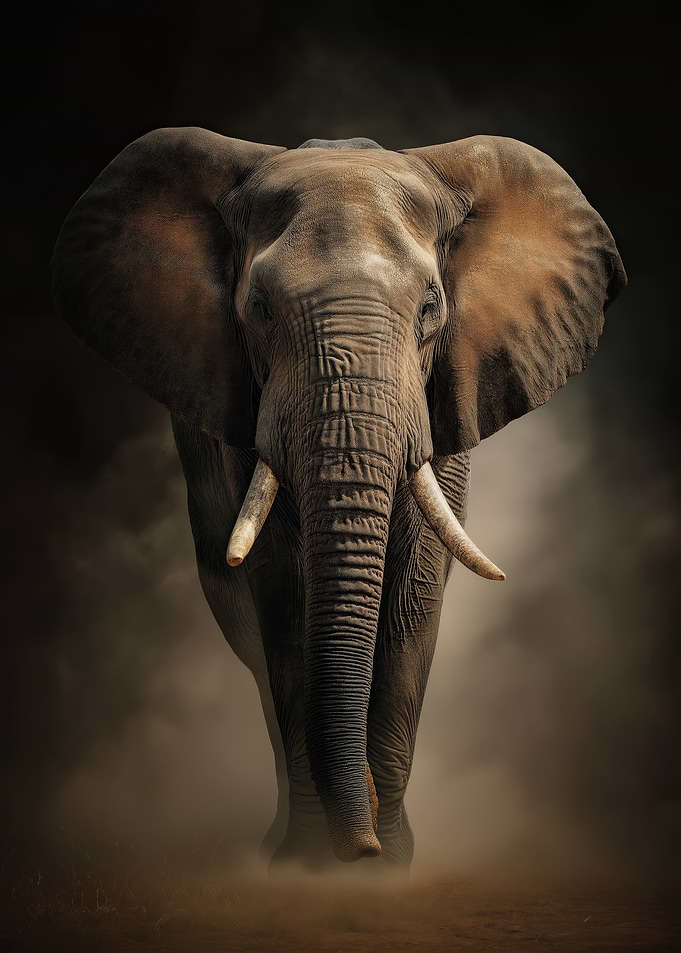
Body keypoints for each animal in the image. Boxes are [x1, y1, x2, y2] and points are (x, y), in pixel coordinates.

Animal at [52, 129, 626, 869]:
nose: (365, 844)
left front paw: (386, 868)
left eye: (431, 308)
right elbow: (279, 593)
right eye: (259, 309)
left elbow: (413, 595)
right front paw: (312, 865)